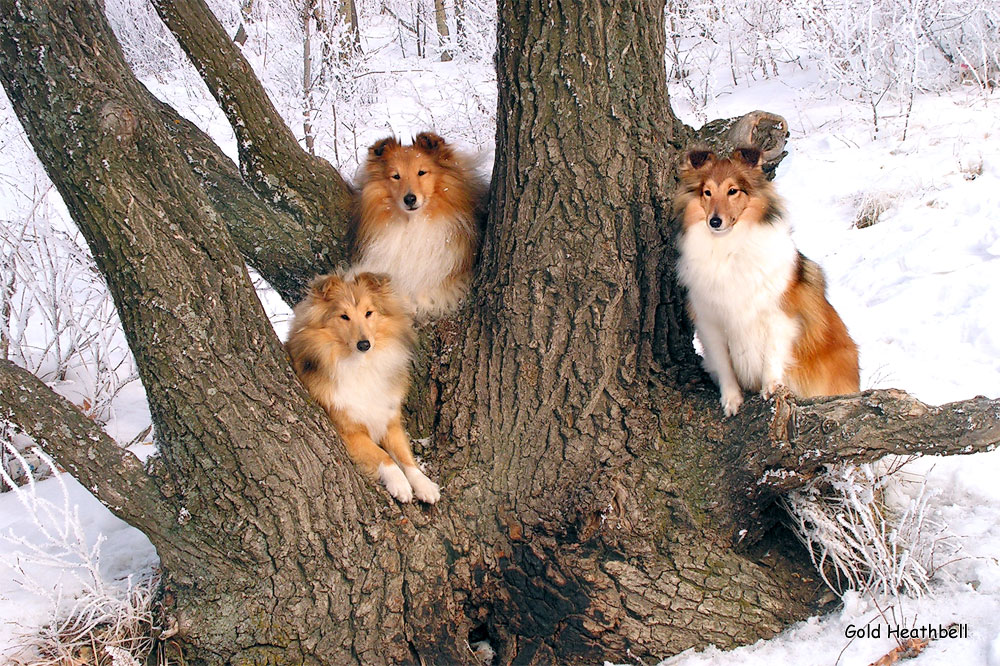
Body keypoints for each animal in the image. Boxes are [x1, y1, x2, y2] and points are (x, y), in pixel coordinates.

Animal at [284, 268, 436, 498]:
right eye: (344, 316)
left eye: (369, 313)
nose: (364, 344)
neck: (361, 365)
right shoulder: (349, 431)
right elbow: (383, 455)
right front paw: (400, 484)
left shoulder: (389, 420)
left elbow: (405, 456)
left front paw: (424, 485)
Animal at [672, 147, 860, 412]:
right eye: (707, 192)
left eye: (733, 190)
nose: (715, 221)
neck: (728, 247)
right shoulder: (710, 322)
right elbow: (723, 364)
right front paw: (731, 400)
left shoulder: (779, 314)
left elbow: (772, 354)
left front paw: (771, 387)